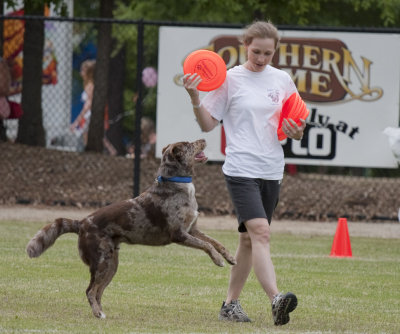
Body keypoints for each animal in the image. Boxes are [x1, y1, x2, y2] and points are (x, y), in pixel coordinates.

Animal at [25, 138, 238, 318]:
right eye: (188, 144)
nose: (203, 139)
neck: (176, 183)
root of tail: (82, 222)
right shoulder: (179, 235)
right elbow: (206, 246)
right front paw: (218, 260)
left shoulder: (193, 230)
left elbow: (216, 242)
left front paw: (229, 257)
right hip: (102, 262)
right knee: (90, 290)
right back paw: (97, 313)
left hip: (111, 265)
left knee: (98, 291)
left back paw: (101, 312)